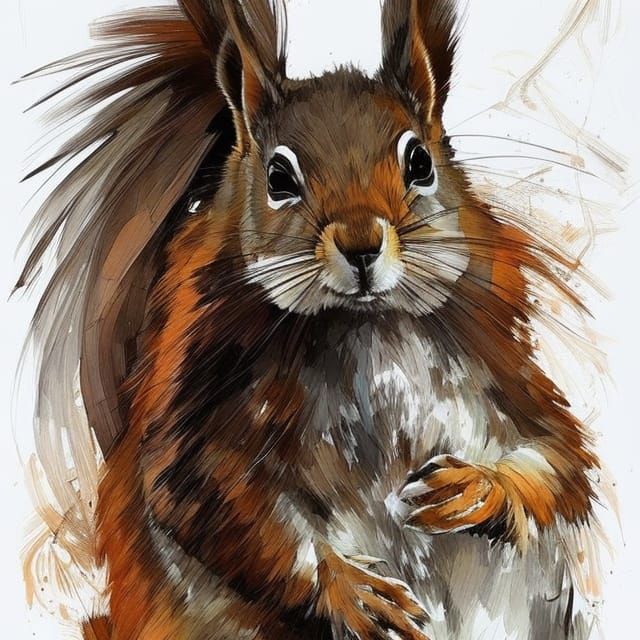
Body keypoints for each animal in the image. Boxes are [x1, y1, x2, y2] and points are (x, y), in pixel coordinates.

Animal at [18, 1, 607, 639]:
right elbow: (201, 500)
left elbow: (558, 456)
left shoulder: (507, 369)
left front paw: (473, 490)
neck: (368, 324)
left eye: (420, 161)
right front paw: (350, 590)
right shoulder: (200, 400)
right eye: (279, 178)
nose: (361, 244)